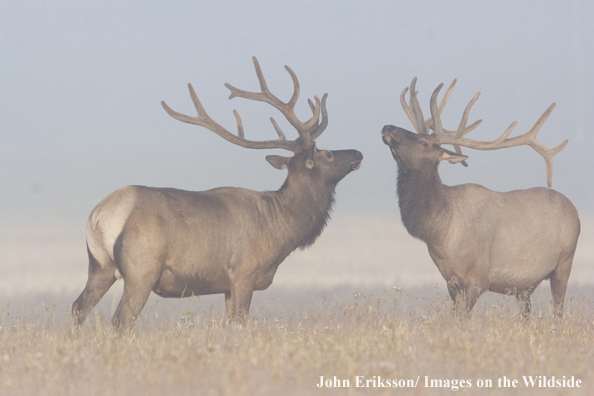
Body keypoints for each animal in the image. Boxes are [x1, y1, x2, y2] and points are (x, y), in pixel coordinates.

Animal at [73, 55, 360, 328]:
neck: (282, 227)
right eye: (328, 154)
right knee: (121, 319)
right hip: (141, 268)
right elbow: (240, 323)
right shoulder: (243, 272)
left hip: (100, 265)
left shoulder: (227, 285)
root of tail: (99, 215)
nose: (358, 153)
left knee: (78, 307)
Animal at [380, 79, 580, 318]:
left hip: (564, 262)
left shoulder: (478, 278)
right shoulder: (452, 281)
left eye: (423, 143)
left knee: (557, 312)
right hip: (524, 286)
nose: (387, 127)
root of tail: (575, 210)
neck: (439, 231)